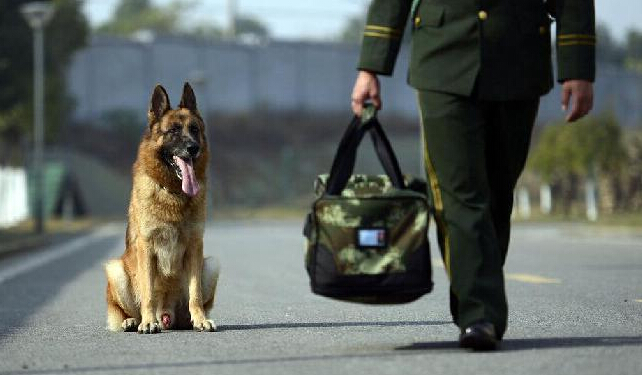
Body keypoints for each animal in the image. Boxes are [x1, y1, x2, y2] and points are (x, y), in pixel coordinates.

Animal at [103, 83, 218, 334]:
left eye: (194, 129)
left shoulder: (195, 247)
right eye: (173, 130)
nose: (193, 148)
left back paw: (191, 320)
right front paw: (147, 323)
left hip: (211, 265)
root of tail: (166, 314)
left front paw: (201, 319)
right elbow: (148, 292)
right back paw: (133, 321)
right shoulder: (146, 248)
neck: (172, 192)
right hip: (116, 270)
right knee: (125, 311)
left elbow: (195, 293)